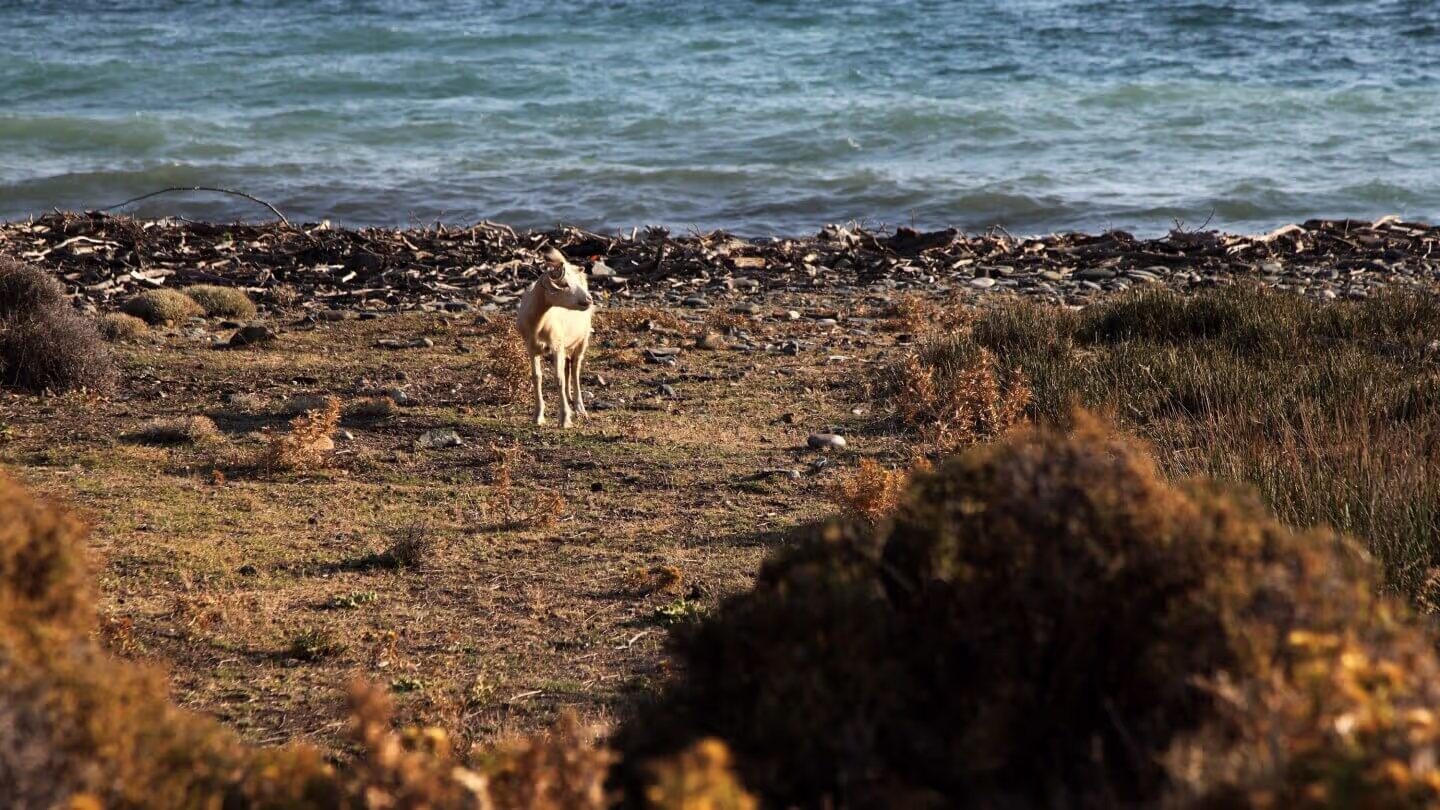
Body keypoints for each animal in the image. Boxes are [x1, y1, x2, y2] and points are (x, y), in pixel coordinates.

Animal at [515, 248, 594, 428]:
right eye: (564, 284)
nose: (588, 299)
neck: (538, 323)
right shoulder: (532, 348)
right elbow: (536, 377)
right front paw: (538, 417)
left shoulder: (557, 347)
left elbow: (558, 379)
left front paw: (564, 419)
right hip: (565, 345)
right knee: (567, 368)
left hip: (582, 339)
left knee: (575, 370)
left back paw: (579, 407)